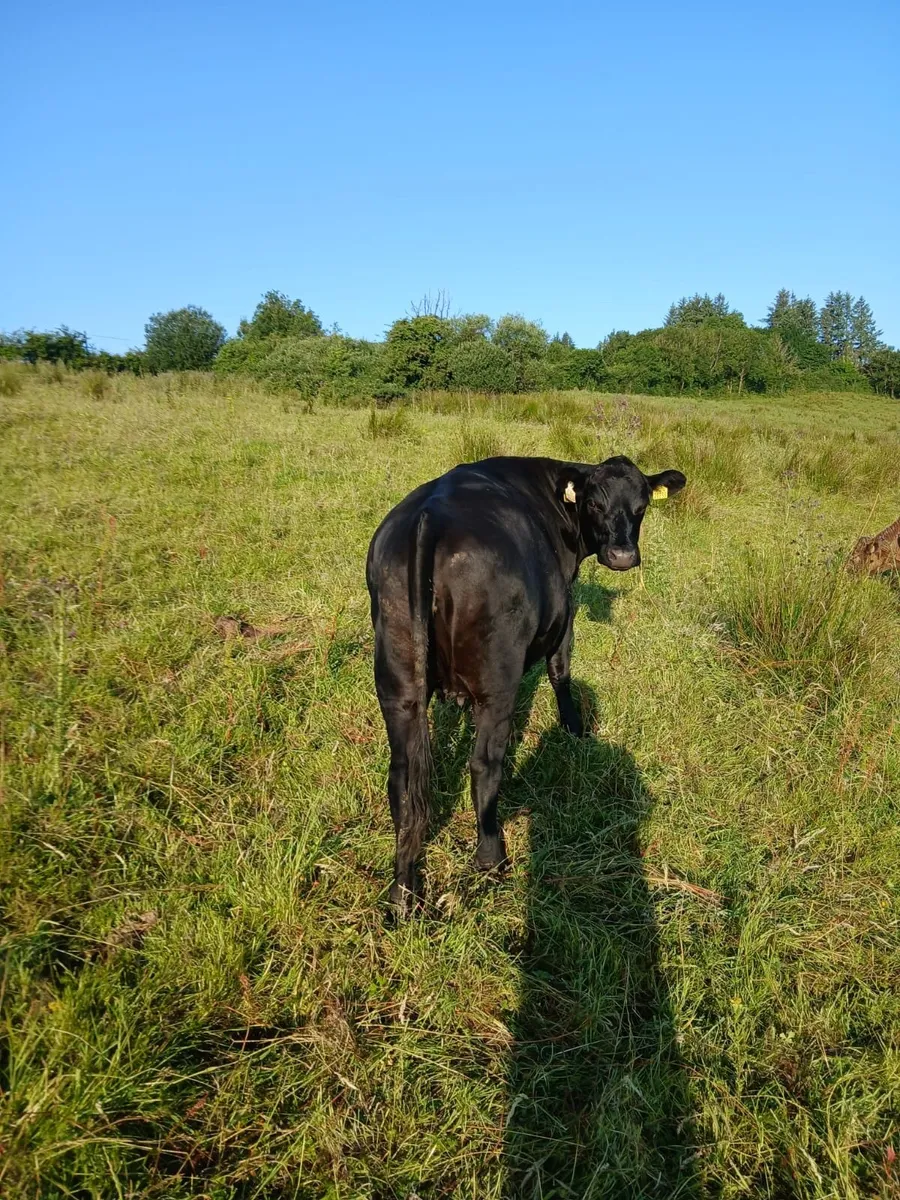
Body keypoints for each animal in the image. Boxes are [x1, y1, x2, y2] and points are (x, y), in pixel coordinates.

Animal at [366, 454, 687, 915]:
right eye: (594, 503)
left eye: (642, 505)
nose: (623, 555)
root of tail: (431, 513)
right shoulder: (564, 615)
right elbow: (561, 671)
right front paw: (575, 729)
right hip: (498, 685)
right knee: (484, 765)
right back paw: (491, 858)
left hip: (398, 683)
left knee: (403, 779)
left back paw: (403, 894)